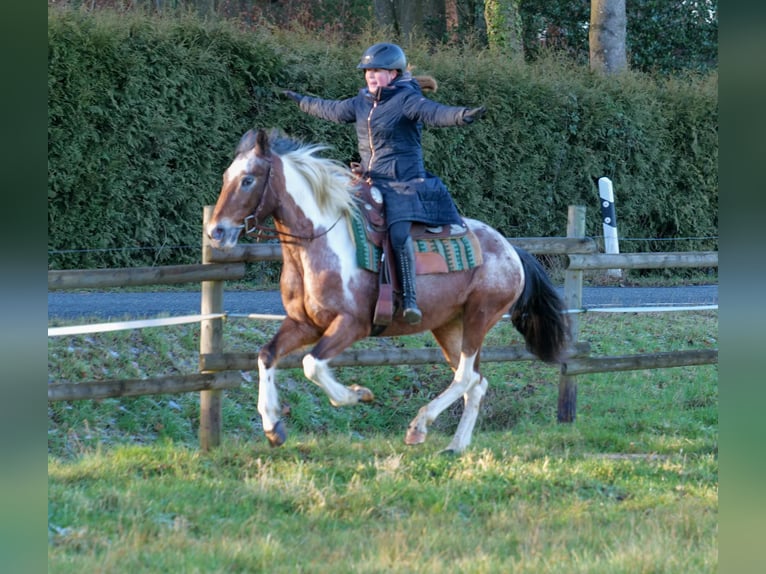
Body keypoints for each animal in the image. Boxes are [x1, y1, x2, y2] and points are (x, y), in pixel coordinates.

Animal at [206, 129, 568, 454]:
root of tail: (511, 250)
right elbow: (266, 356)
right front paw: (273, 427)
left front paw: (357, 395)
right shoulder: (303, 324)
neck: (322, 242)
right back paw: (455, 446)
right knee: (477, 383)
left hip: (480, 317)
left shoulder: (352, 324)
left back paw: (419, 426)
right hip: (449, 326)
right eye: (226, 177)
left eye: (248, 179)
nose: (216, 232)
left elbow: (312, 364)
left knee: (466, 377)